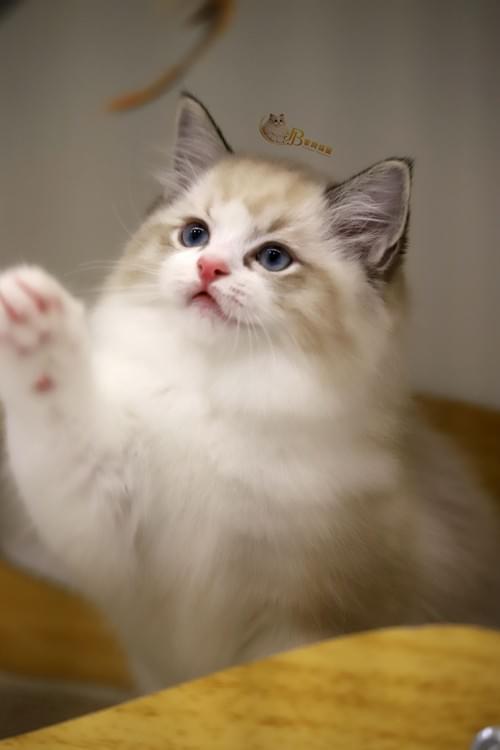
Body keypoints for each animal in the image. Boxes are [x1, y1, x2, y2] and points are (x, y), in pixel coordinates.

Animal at [0, 93, 499, 692]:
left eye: (273, 258)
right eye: (195, 235)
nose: (209, 268)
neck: (213, 394)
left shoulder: (302, 620)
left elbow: (265, 683)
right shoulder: (108, 528)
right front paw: (35, 321)